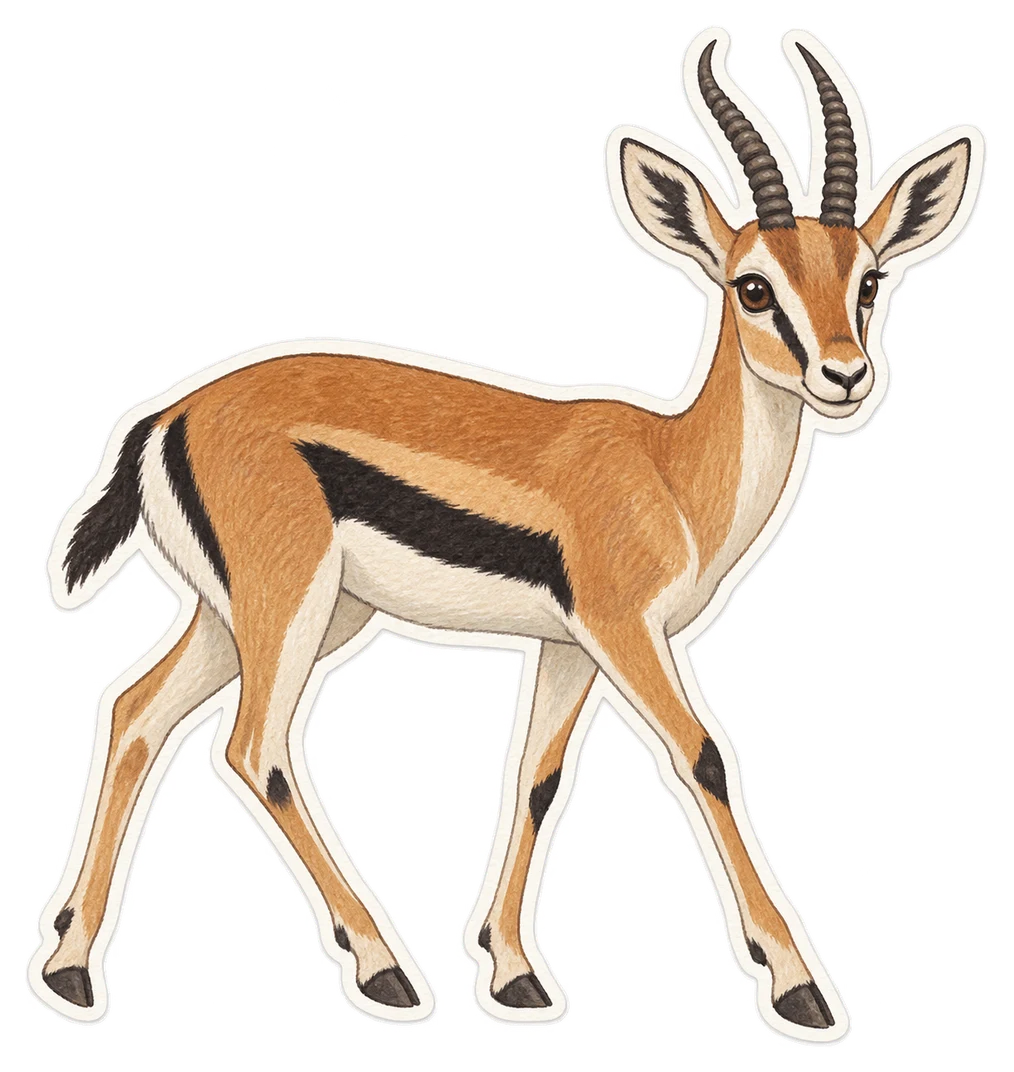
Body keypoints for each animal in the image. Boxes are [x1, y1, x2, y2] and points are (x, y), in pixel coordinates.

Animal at [33, 30, 980, 1040]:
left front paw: (516, 974)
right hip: (289, 609)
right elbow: (704, 757)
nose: (846, 375)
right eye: (753, 286)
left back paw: (69, 966)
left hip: (260, 616)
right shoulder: (623, 629)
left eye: (868, 279)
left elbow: (536, 778)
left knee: (136, 712)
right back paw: (383, 970)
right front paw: (798, 985)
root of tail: (169, 416)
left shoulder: (568, 646)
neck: (670, 472)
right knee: (254, 748)